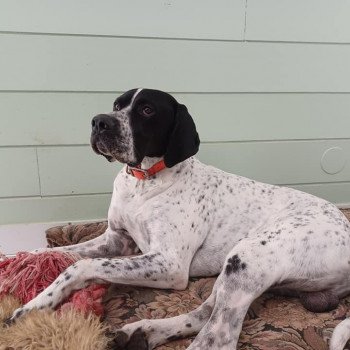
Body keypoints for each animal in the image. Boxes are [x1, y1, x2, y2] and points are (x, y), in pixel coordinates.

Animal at [6, 89, 350, 348]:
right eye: (117, 105)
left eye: (146, 110)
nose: (99, 122)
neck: (142, 182)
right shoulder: (117, 239)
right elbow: (57, 254)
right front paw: (20, 267)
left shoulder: (169, 264)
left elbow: (81, 266)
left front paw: (32, 306)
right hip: (234, 273)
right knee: (204, 313)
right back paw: (141, 332)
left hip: (245, 260)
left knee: (217, 337)